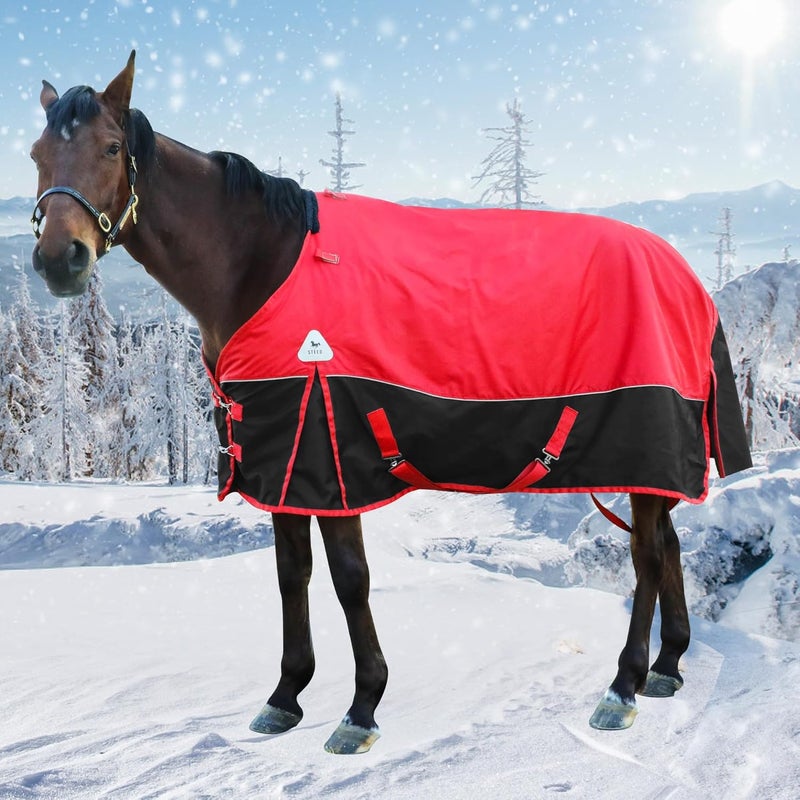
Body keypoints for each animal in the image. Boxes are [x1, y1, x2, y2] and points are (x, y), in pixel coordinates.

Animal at [29, 52, 752, 755]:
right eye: (36, 153)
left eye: (112, 147)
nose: (59, 260)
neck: (262, 266)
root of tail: (687, 277)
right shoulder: (281, 460)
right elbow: (291, 574)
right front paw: (286, 695)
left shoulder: (330, 454)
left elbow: (350, 578)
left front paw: (362, 707)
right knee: (669, 546)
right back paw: (667, 667)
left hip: (644, 448)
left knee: (648, 557)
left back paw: (623, 686)